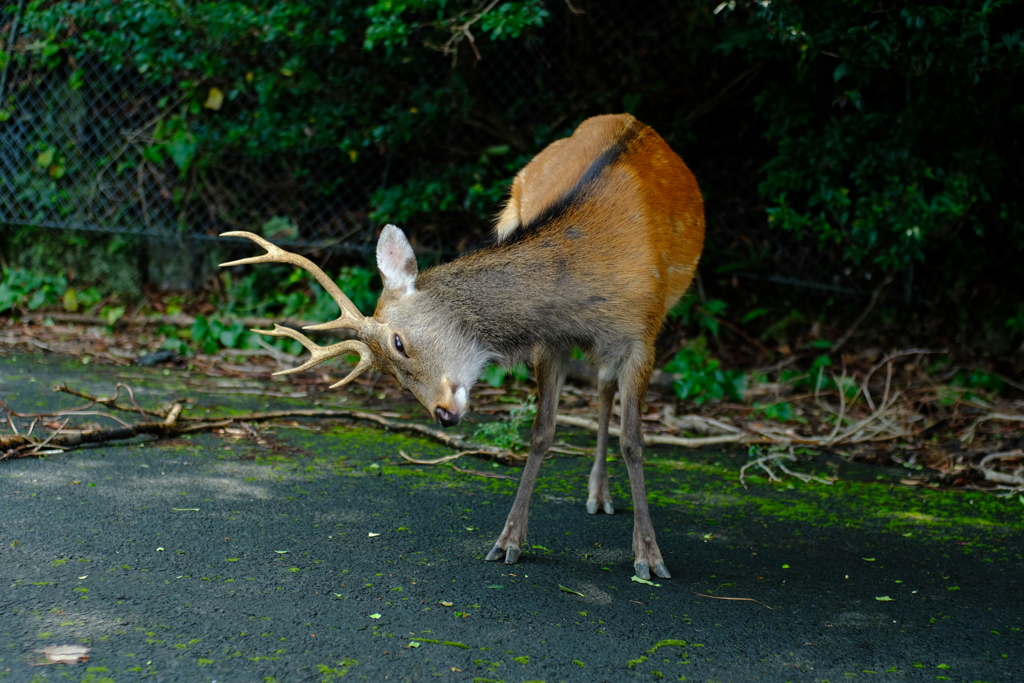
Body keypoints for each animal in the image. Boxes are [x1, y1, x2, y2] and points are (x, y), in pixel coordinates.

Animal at [220, 113, 704, 581]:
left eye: (398, 343)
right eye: (387, 372)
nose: (443, 415)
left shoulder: (644, 334)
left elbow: (634, 442)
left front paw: (649, 556)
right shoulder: (549, 343)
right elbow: (541, 432)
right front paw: (508, 541)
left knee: (606, 389)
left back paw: (603, 498)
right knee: (602, 386)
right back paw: (597, 493)